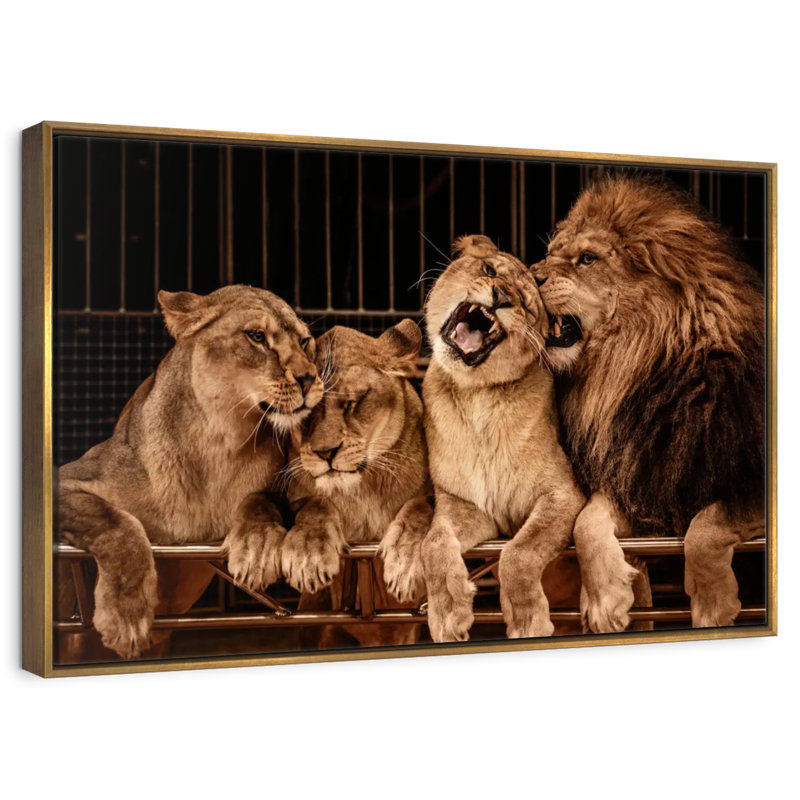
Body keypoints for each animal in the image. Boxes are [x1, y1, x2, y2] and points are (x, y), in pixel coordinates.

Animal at [57, 285, 323, 658]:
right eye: (257, 336)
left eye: (304, 341)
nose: (309, 378)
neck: (220, 440)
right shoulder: (67, 479)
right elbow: (115, 522)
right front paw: (126, 615)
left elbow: (261, 500)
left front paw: (256, 547)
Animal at [421, 234, 586, 642]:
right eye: (490, 270)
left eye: (526, 304)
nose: (501, 296)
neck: (477, 394)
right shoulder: (464, 505)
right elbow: (432, 544)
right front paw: (448, 614)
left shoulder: (562, 494)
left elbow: (519, 552)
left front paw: (528, 622)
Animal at [533, 175, 766, 632]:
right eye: (551, 252)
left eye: (587, 259)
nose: (527, 275)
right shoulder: (640, 476)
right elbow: (587, 519)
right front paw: (605, 599)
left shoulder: (748, 481)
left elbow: (707, 525)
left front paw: (713, 604)